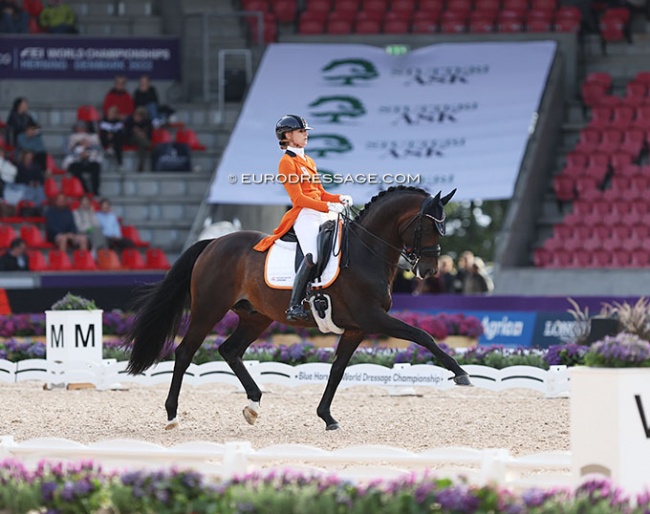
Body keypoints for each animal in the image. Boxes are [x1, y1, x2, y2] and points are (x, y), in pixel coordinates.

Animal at [125, 186, 470, 430]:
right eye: (429, 227)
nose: (428, 271)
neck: (365, 252)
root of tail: (213, 243)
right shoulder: (374, 318)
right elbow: (423, 336)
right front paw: (461, 374)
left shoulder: (356, 328)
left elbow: (337, 370)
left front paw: (326, 417)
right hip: (209, 310)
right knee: (185, 352)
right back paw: (172, 415)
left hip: (255, 317)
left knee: (229, 350)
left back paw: (253, 405)